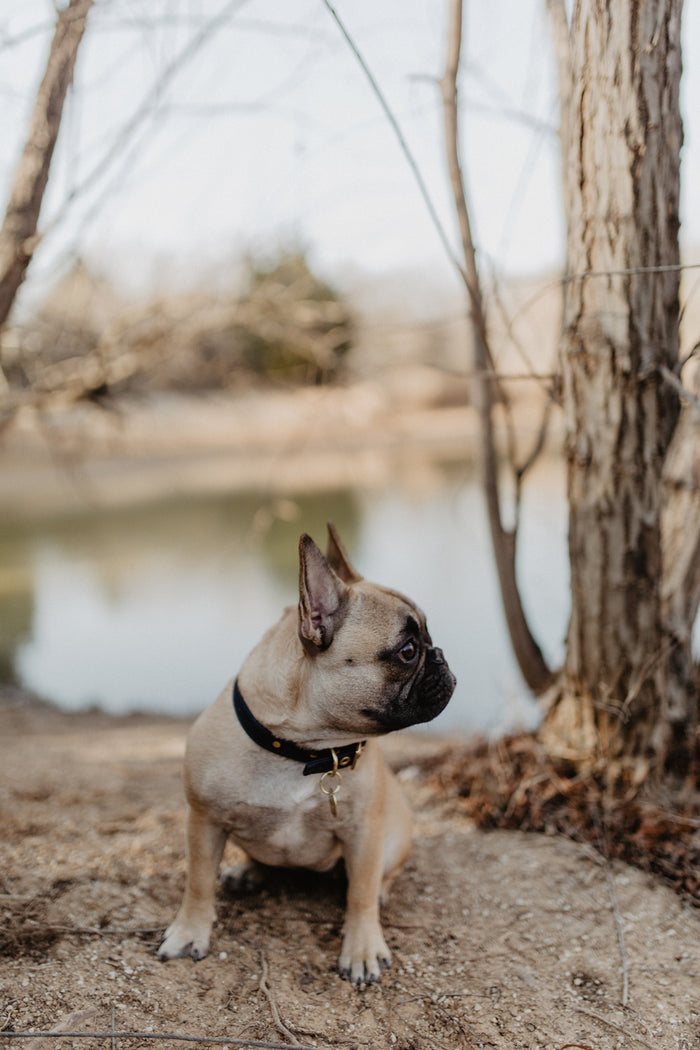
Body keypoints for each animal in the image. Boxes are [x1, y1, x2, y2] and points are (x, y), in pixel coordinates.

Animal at [157, 525, 455, 982]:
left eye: (427, 643)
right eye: (408, 651)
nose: (441, 656)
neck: (303, 750)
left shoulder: (363, 832)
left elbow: (360, 894)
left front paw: (362, 948)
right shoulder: (204, 819)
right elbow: (198, 881)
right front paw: (190, 932)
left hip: (392, 838)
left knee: (377, 880)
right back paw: (247, 871)